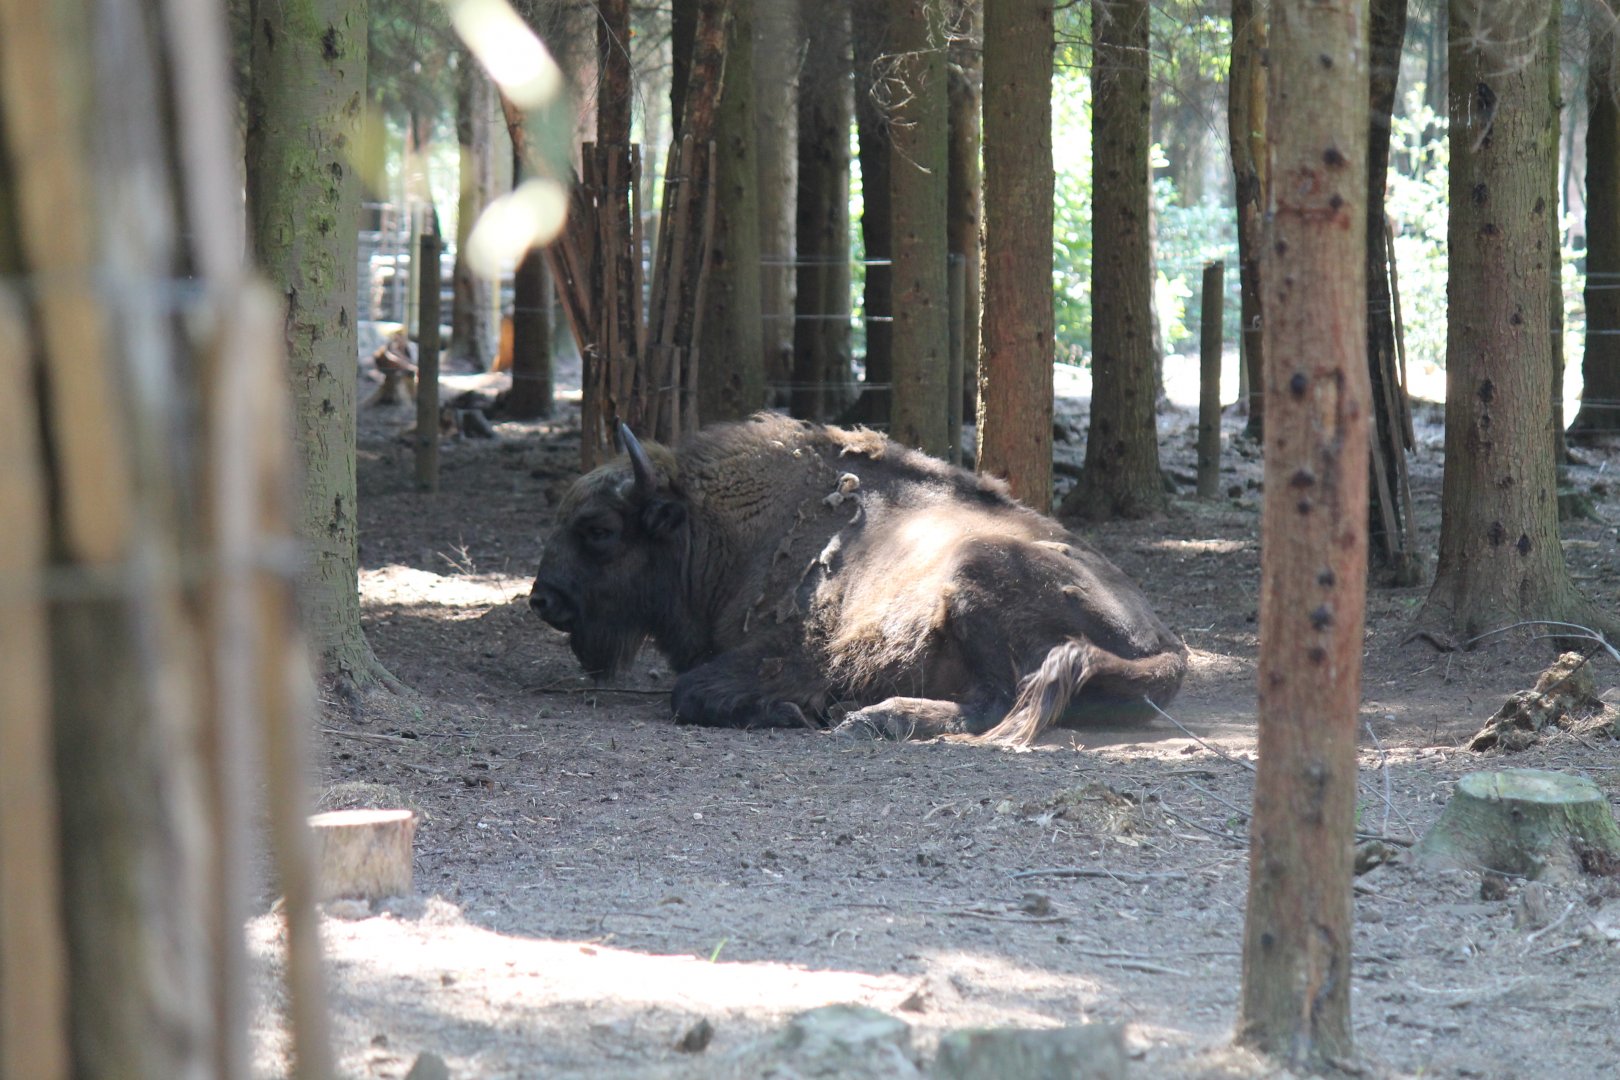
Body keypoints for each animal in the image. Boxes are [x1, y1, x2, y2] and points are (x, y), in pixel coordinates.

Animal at [530, 414, 1186, 747]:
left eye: (598, 530)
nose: (543, 600)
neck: (719, 526)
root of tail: (1166, 644)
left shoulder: (792, 648)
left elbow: (688, 691)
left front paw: (791, 711)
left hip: (974, 576)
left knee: (999, 698)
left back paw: (872, 718)